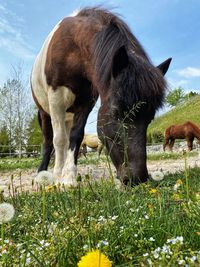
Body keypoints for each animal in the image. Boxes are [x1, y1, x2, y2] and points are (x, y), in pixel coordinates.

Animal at [30, 6, 170, 186]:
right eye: (116, 111)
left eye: (150, 117)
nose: (137, 178)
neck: (74, 45)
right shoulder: (56, 98)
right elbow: (59, 140)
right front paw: (59, 177)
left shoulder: (86, 103)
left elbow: (75, 137)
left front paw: (68, 177)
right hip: (45, 112)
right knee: (48, 142)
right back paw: (42, 174)